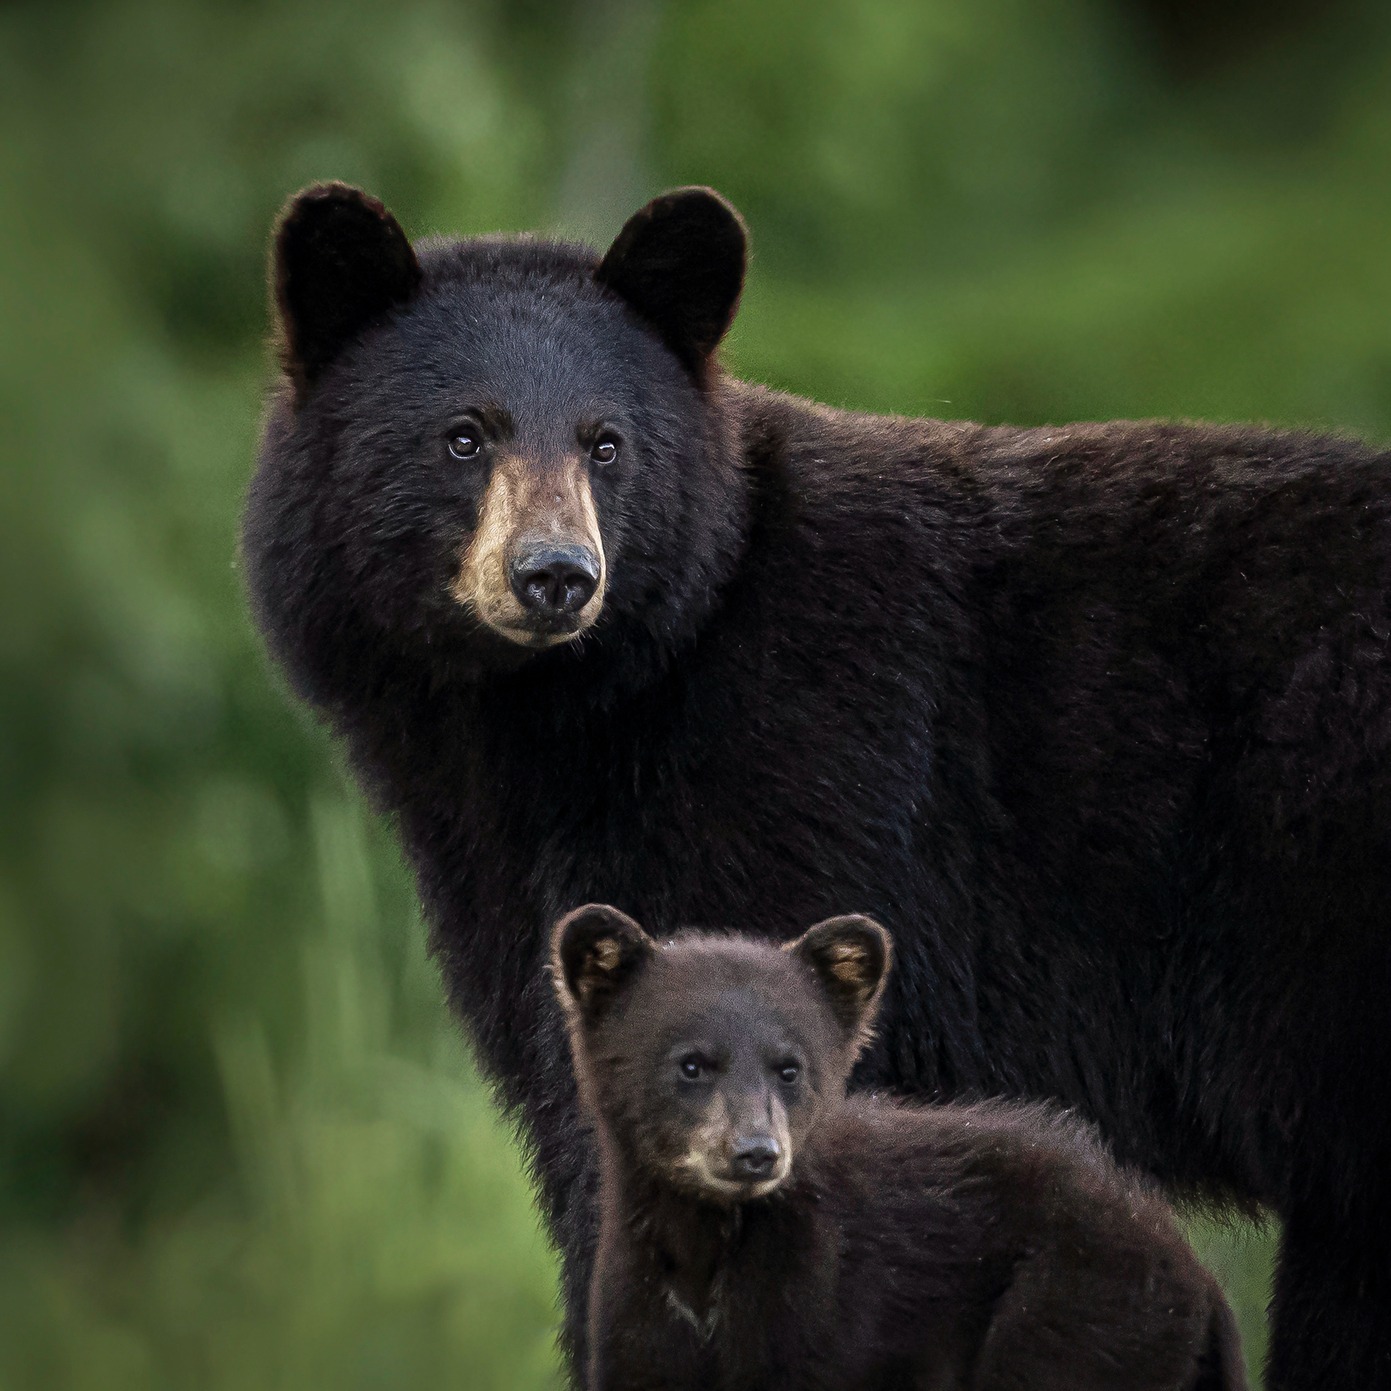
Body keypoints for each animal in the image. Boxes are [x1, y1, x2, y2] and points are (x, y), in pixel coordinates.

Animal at [551, 903, 1247, 1391]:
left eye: (790, 1067)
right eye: (692, 1064)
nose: (756, 1152)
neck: (706, 1252)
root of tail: (1198, 1276)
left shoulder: (825, 1307)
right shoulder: (636, 1314)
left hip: (1081, 1310)